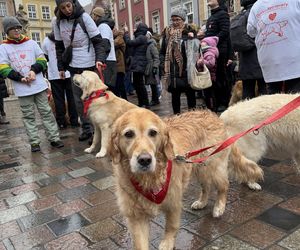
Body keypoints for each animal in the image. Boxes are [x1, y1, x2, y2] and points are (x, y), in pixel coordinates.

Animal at [108, 108, 262, 250]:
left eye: (153, 133)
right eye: (128, 134)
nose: (145, 160)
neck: (150, 179)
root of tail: (214, 116)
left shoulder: (174, 201)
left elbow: (171, 226)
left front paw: (167, 243)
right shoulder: (136, 216)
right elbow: (140, 243)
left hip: (213, 167)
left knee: (224, 186)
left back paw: (219, 207)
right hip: (200, 168)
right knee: (206, 187)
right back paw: (201, 203)